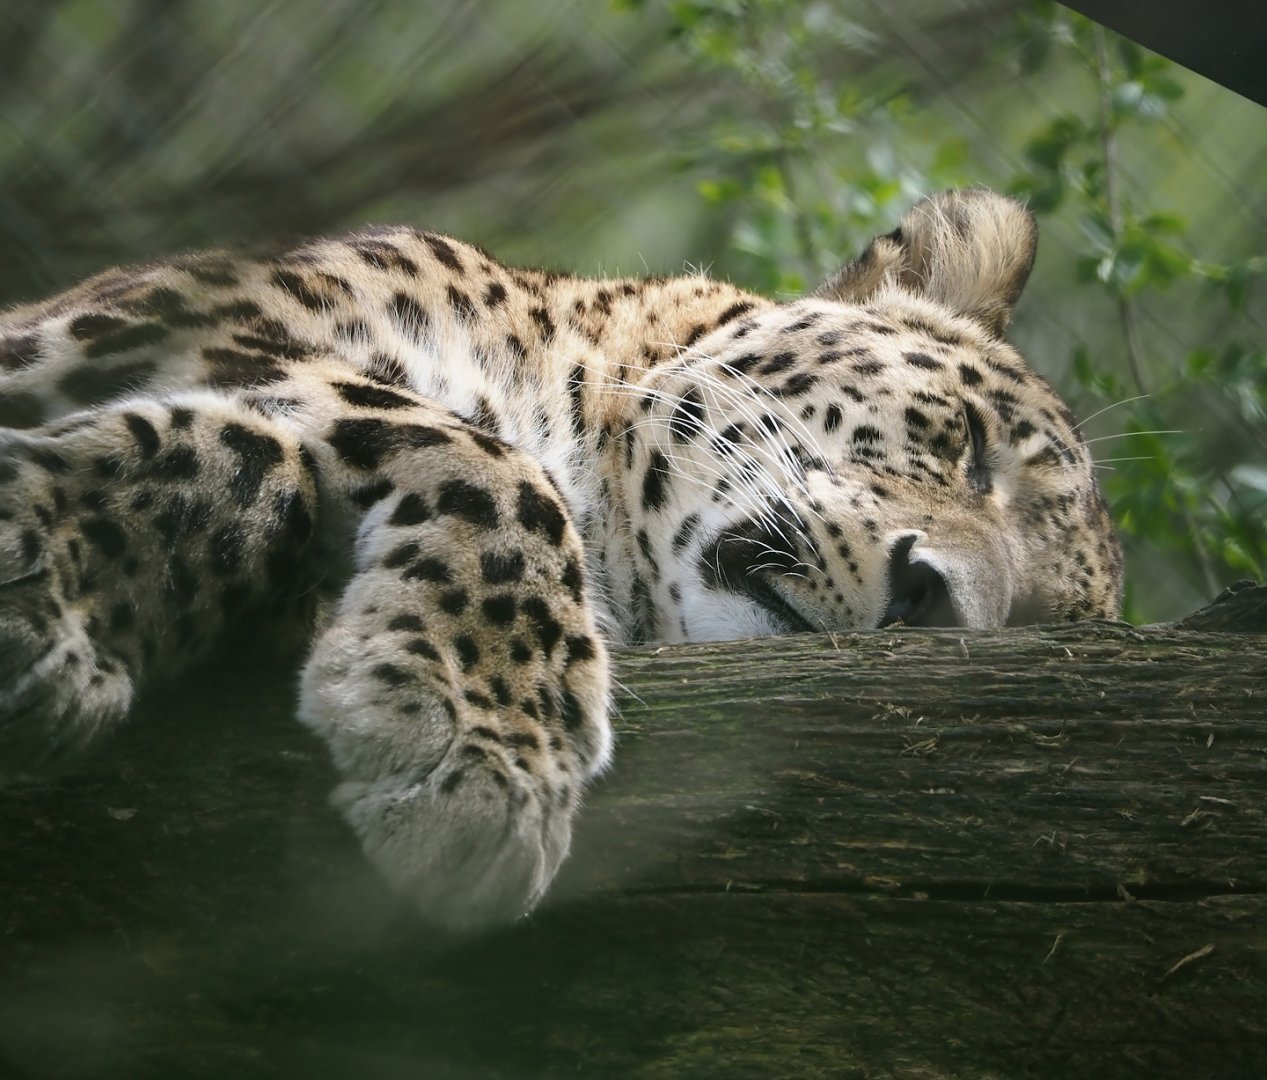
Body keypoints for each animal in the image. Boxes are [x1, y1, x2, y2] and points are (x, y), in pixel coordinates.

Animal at [0, 188, 1122, 930]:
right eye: (966, 444)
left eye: (1021, 626)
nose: (935, 604)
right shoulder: (159, 329)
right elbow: (476, 452)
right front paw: (486, 742)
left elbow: (253, 453)